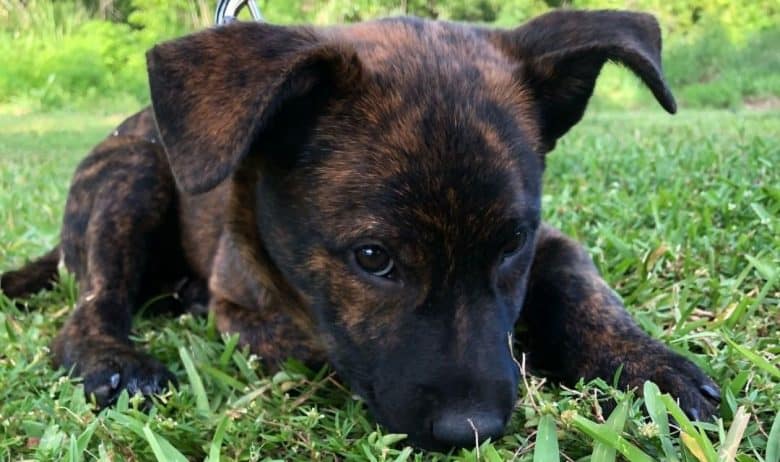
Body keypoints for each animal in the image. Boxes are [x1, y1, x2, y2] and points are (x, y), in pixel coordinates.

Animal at [0, 9, 720, 452]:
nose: (472, 429)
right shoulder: (252, 309)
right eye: (373, 257)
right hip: (134, 176)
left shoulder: (550, 240)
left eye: (511, 244)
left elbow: (581, 286)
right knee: (90, 305)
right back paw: (114, 358)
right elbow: (323, 346)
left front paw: (648, 365)